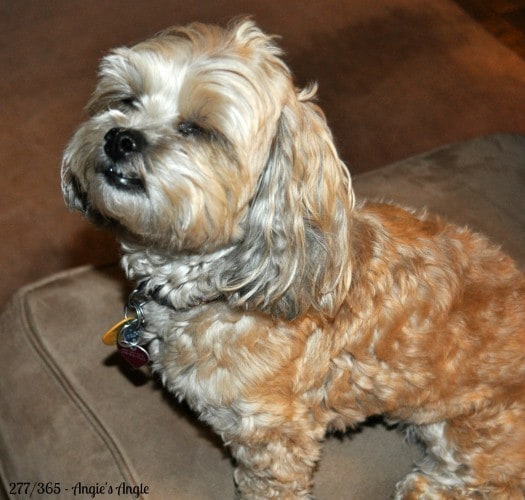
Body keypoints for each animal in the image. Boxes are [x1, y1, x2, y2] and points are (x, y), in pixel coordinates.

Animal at [62, 17, 524, 498]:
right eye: (125, 100)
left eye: (198, 128)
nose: (119, 137)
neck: (226, 287)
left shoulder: (274, 434)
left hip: (471, 431)